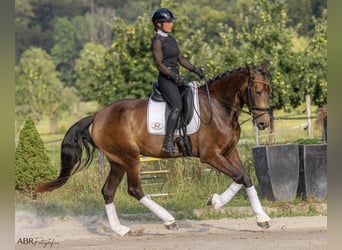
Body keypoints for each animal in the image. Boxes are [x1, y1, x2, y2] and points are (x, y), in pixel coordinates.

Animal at [35, 60, 272, 236]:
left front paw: (262, 218)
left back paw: (120, 229)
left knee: (108, 191)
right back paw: (168, 220)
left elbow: (246, 178)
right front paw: (215, 201)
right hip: (130, 158)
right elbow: (238, 177)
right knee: (135, 190)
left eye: (270, 90)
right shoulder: (211, 155)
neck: (219, 106)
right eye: (257, 90)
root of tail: (98, 115)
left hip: (117, 161)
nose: (263, 124)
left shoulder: (229, 151)